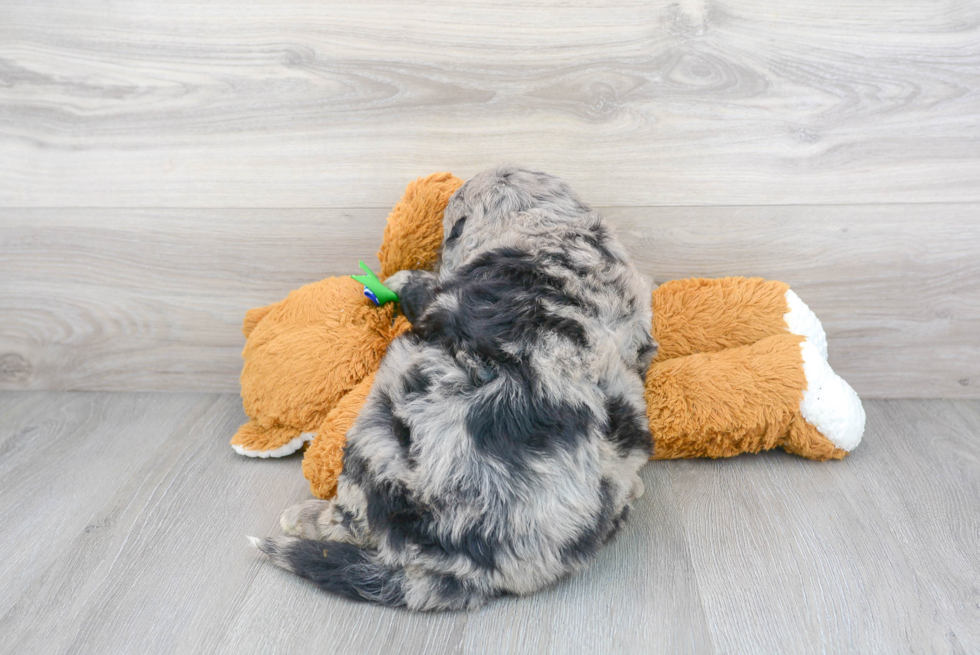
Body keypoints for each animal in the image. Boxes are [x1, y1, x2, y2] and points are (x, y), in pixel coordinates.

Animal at [249, 167, 656, 612]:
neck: (552, 228)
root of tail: (476, 565)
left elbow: (418, 287)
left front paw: (400, 278)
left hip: (378, 431)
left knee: (351, 520)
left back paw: (303, 518)